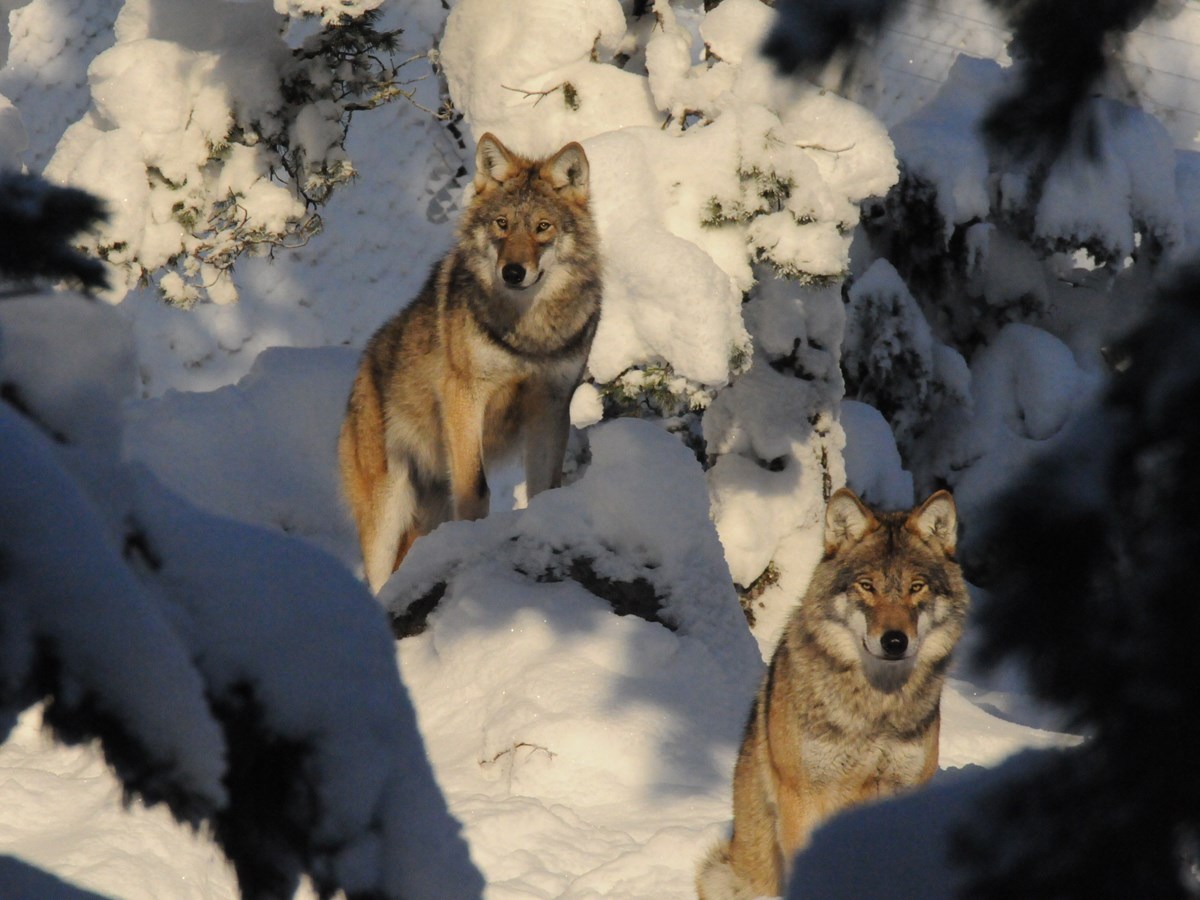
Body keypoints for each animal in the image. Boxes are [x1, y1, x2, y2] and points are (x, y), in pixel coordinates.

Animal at [338, 133, 600, 595]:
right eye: (501, 223)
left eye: (542, 227)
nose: (513, 272)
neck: (527, 334)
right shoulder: (465, 397)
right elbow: (475, 488)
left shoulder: (552, 406)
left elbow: (544, 488)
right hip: (387, 513)